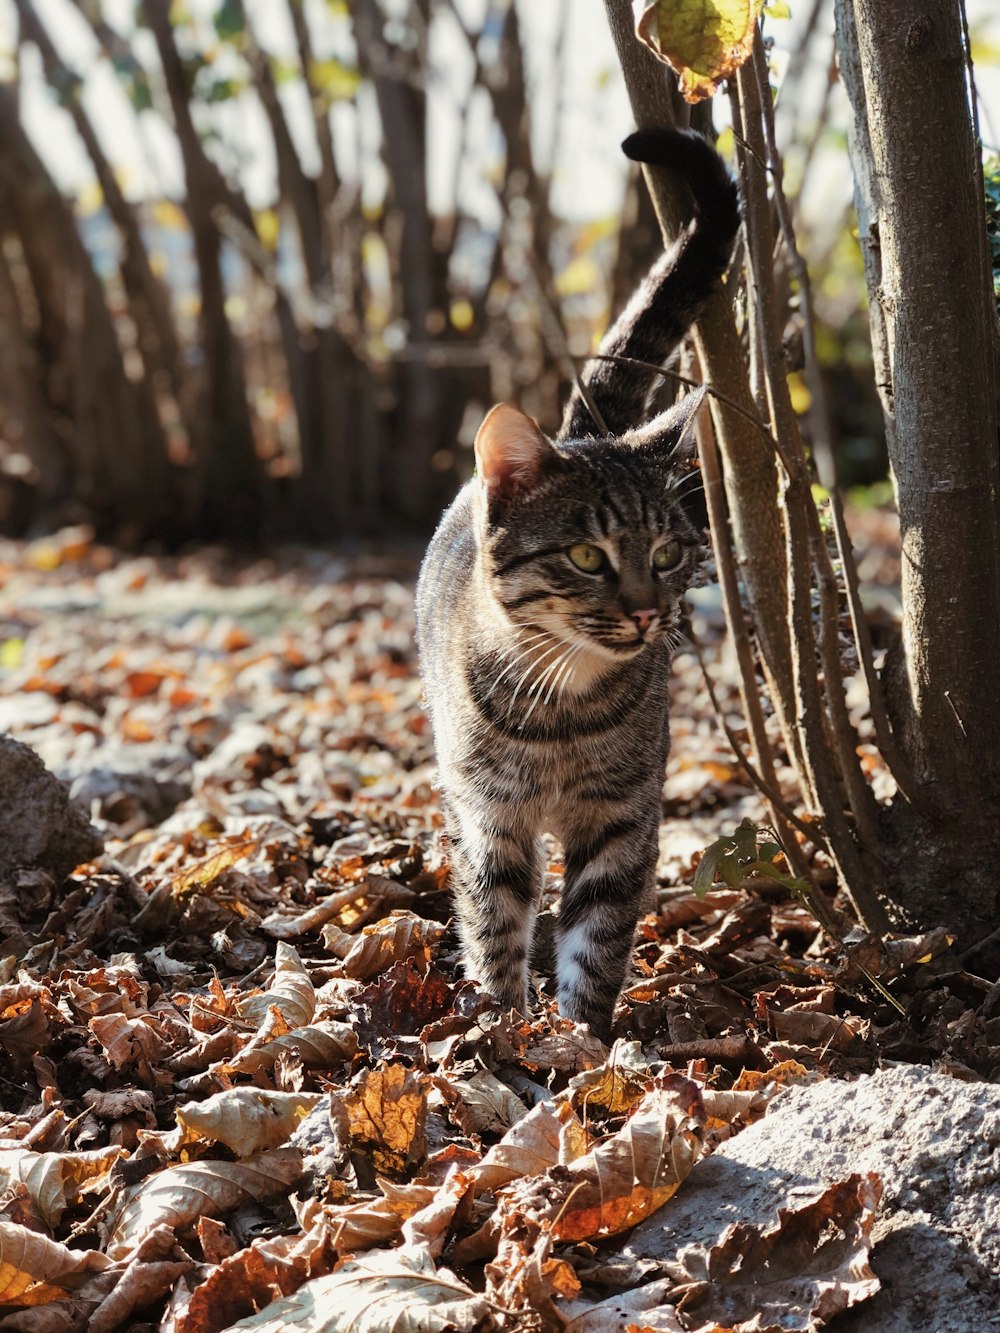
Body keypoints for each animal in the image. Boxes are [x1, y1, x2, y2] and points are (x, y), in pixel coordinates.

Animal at [416, 127, 746, 1039]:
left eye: (668, 553)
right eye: (588, 557)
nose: (644, 613)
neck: (564, 709)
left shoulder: (624, 817)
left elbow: (596, 936)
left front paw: (584, 1042)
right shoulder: (491, 817)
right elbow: (494, 918)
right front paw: (502, 1026)